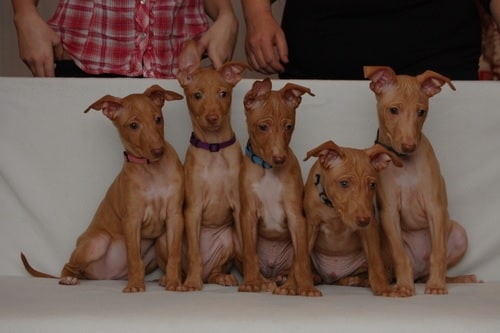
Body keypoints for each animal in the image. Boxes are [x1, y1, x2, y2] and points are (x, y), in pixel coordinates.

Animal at [21, 84, 185, 292]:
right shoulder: (132, 220)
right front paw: (135, 285)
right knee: (68, 265)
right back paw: (68, 278)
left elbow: (175, 254)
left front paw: (174, 282)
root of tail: (105, 276)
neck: (152, 170)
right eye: (133, 126)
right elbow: (134, 258)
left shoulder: (175, 216)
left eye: (158, 119)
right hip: (97, 242)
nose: (159, 151)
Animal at [176, 40, 250, 290]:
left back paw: (221, 276)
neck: (214, 148)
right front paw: (192, 282)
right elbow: (194, 254)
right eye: (197, 95)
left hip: (229, 239)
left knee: (217, 269)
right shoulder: (193, 209)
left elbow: (249, 250)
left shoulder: (239, 207)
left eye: (223, 94)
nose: (212, 117)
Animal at [237, 78, 320, 296]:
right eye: (263, 127)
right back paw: (264, 282)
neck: (269, 170)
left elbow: (301, 261)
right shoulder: (247, 214)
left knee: (295, 264)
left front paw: (306, 287)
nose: (280, 158)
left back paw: (288, 284)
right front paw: (250, 282)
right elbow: (250, 254)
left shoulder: (296, 216)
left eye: (289, 127)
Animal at [302, 140, 404, 296]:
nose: (364, 220)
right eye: (344, 183)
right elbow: (300, 260)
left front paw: (383, 288)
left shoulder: (370, 229)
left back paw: (358, 280)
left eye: (372, 185)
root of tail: (332, 276)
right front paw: (297, 285)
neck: (334, 210)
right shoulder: (311, 225)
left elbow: (376, 264)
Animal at [366, 66, 478, 294]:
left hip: (458, 234)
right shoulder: (389, 212)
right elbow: (400, 255)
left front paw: (436, 285)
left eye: (421, 112)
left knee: (436, 265)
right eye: (393, 110)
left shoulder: (435, 207)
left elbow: (439, 253)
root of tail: (418, 272)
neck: (405, 163)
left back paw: (458, 278)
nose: (409, 146)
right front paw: (403, 286)